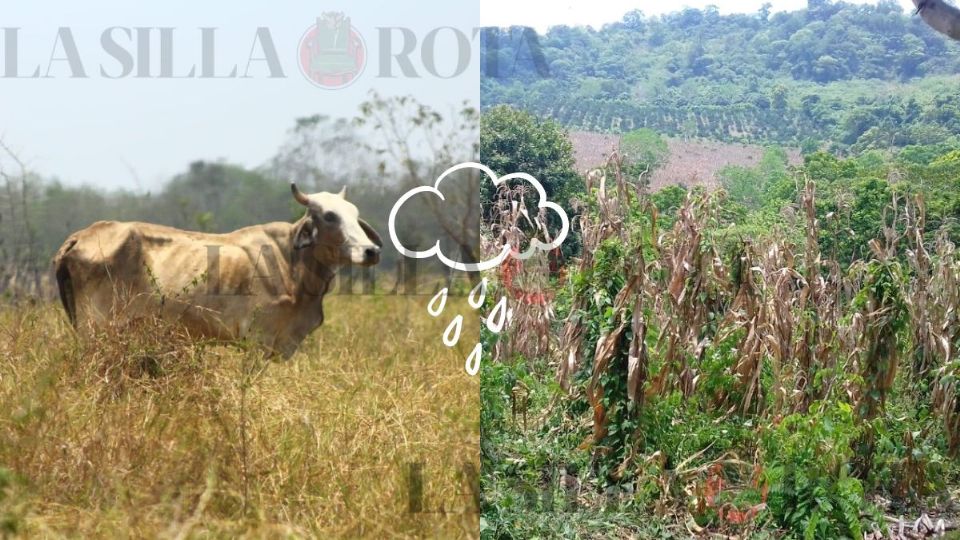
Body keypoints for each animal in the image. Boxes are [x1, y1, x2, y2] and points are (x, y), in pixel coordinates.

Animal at [52, 185, 382, 358]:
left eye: (355, 214)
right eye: (329, 216)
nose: (371, 251)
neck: (293, 262)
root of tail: (79, 236)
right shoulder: (258, 340)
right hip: (95, 331)